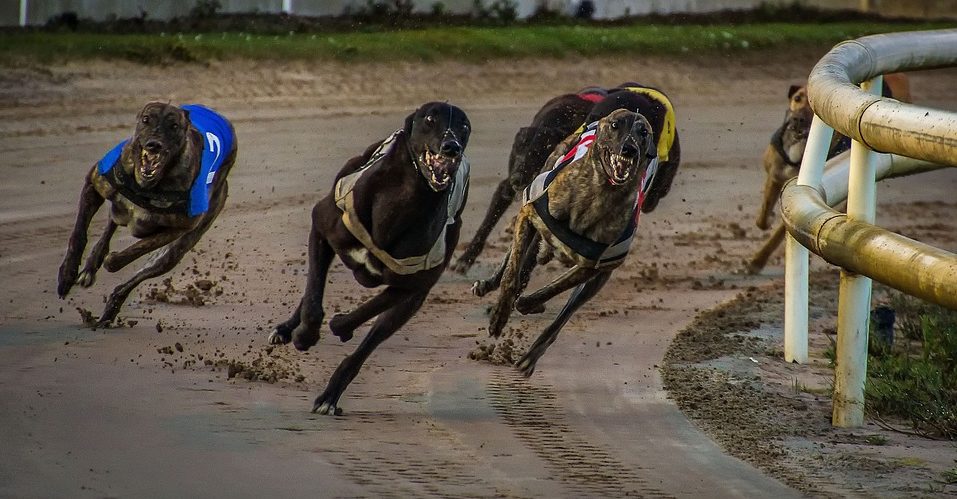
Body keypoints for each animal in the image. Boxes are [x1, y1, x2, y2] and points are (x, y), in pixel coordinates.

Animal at [57, 102, 237, 326]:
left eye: (174, 126)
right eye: (146, 119)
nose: (154, 145)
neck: (148, 185)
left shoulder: (178, 229)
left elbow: (133, 251)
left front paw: (111, 260)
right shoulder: (94, 183)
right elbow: (79, 234)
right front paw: (67, 275)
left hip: (178, 248)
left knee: (142, 271)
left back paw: (109, 310)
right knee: (112, 221)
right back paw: (91, 267)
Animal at [269, 102, 471, 415]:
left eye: (464, 126)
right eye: (430, 118)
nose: (452, 147)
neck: (398, 206)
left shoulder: (414, 288)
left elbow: (365, 317)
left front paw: (341, 326)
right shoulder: (321, 227)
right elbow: (313, 297)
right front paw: (304, 335)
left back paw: (330, 394)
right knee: (313, 287)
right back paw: (288, 329)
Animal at [474, 107, 659, 377]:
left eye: (643, 132)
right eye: (616, 125)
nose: (629, 149)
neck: (599, 195)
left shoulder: (594, 268)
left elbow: (554, 290)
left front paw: (528, 304)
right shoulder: (531, 214)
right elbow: (512, 273)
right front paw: (499, 315)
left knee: (562, 314)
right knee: (511, 257)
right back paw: (489, 284)